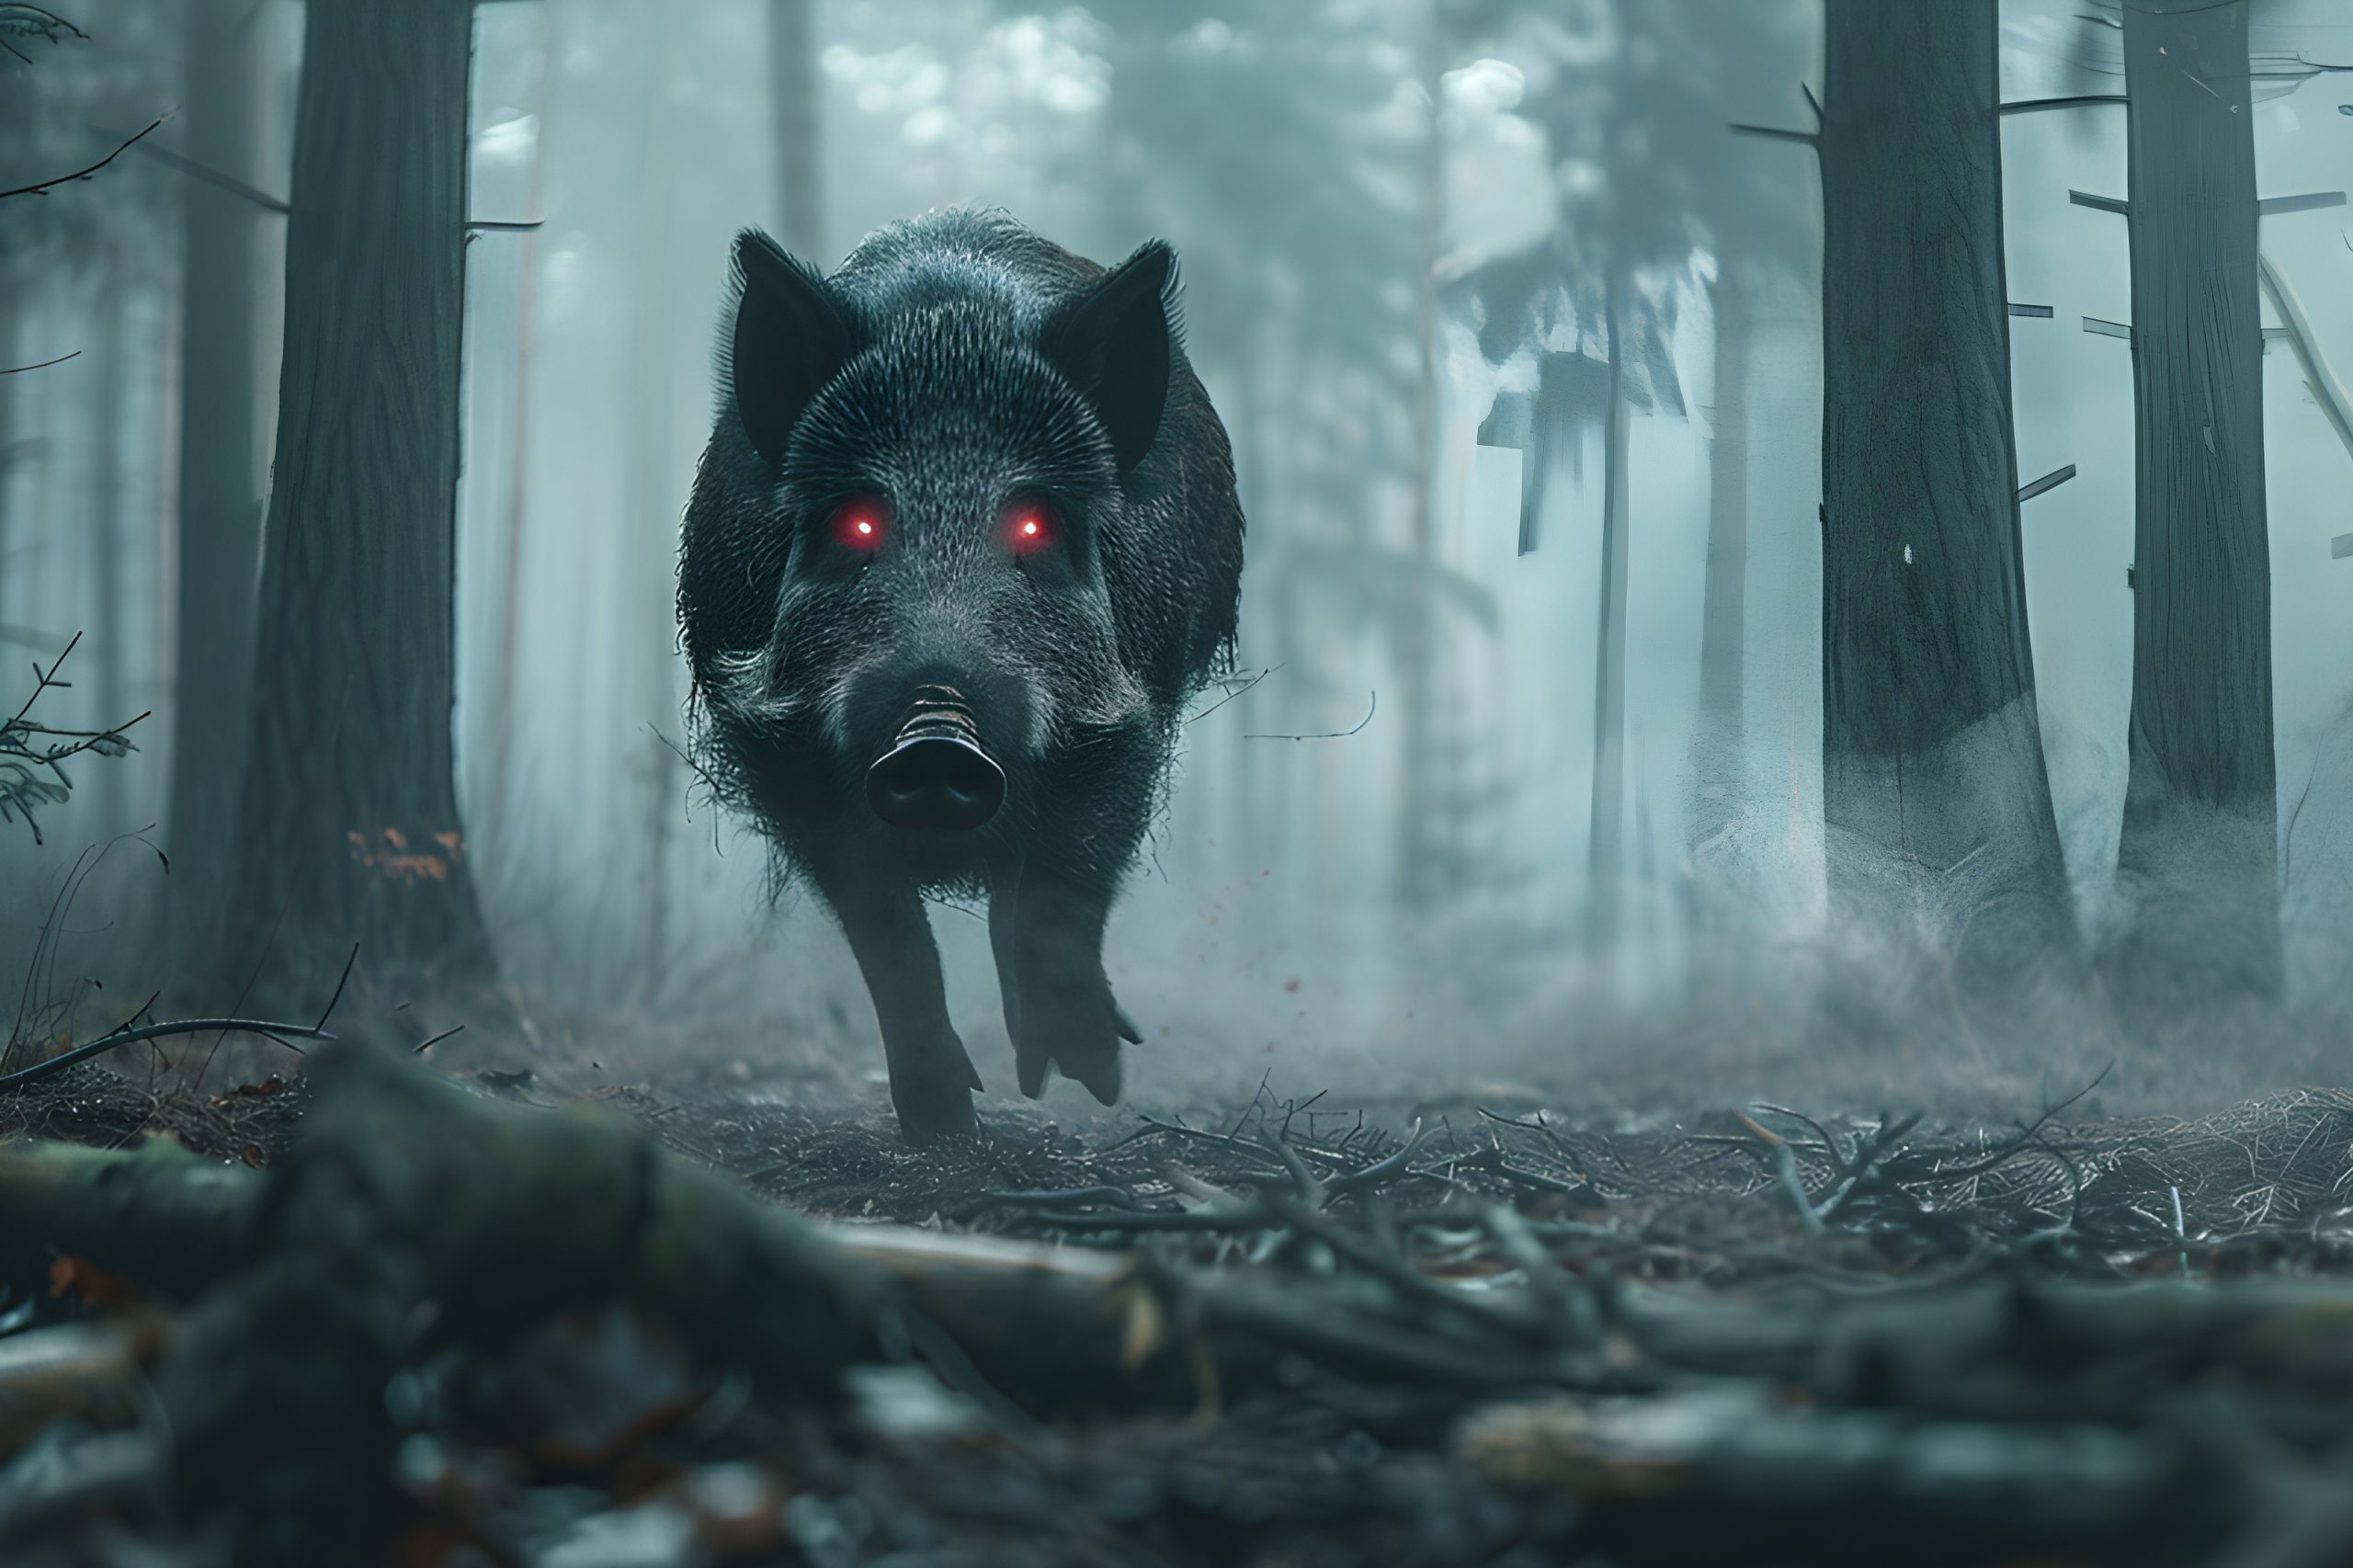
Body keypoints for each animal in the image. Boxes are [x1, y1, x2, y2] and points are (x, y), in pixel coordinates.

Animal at [679, 208, 1247, 1143]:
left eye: (1035, 523)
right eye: (857, 521)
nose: (936, 732)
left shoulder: (1131, 709)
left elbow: (1063, 887)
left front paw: (1092, 1081)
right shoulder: (782, 755)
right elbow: (886, 930)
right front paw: (943, 1124)